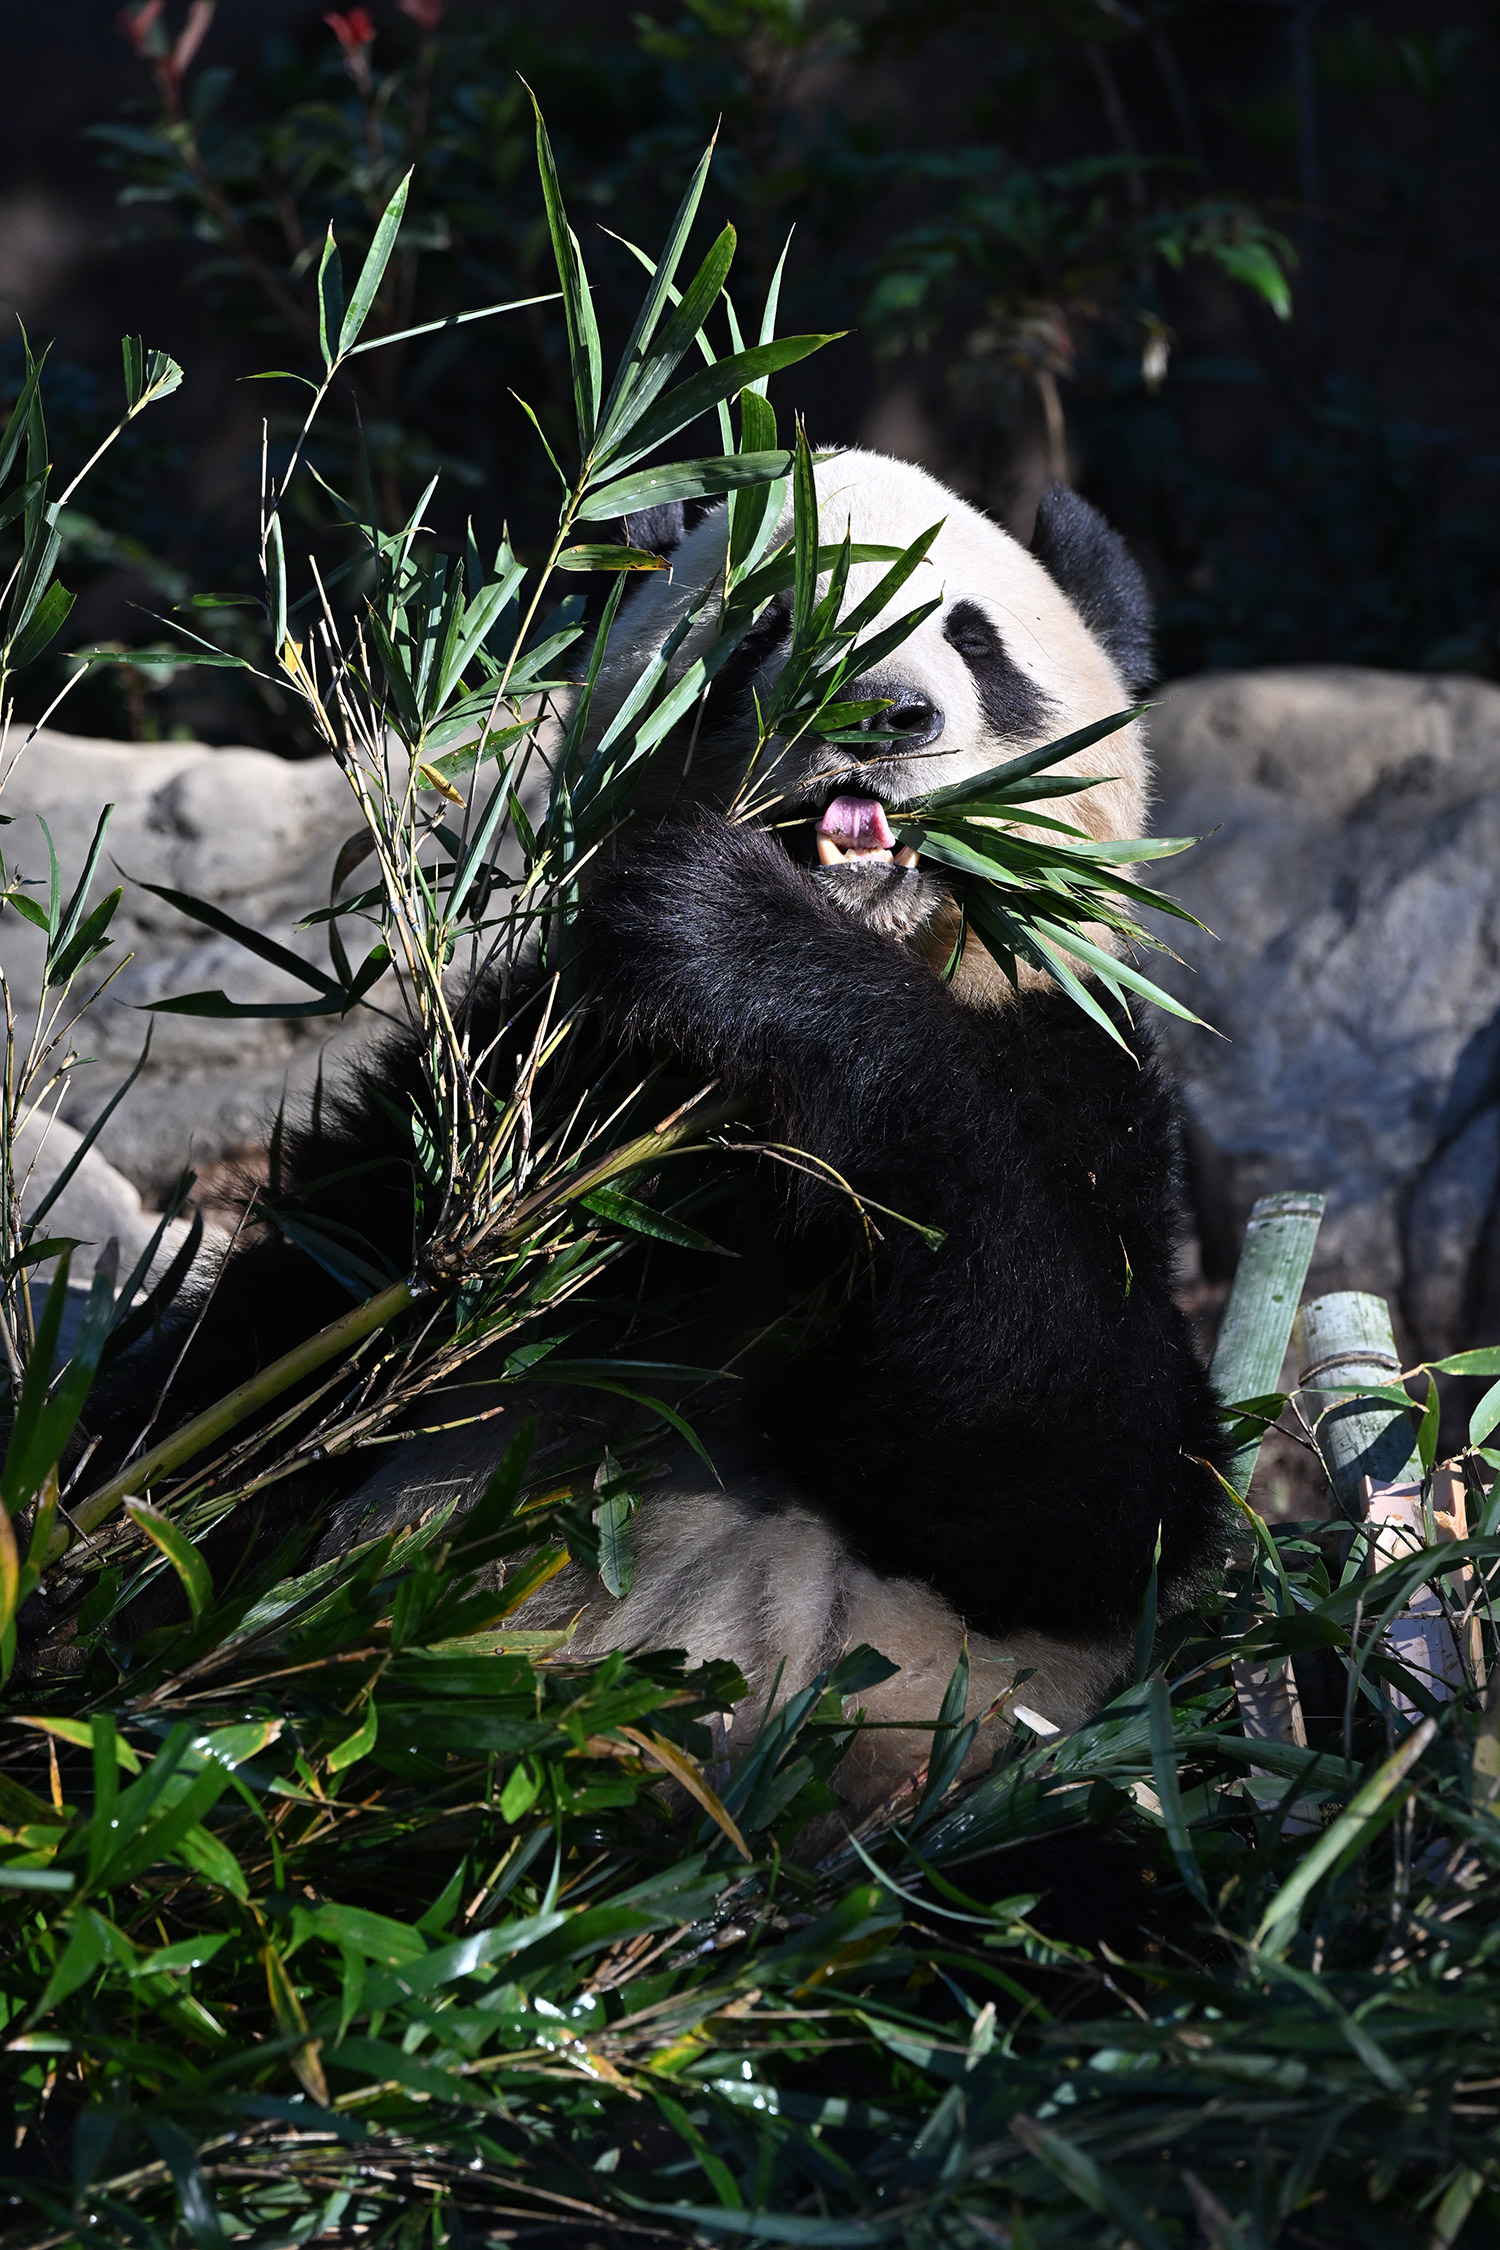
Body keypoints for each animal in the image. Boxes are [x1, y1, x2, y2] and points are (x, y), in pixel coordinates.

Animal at [84, 452, 1232, 1827]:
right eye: (772, 623)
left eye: (972, 637)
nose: (880, 711)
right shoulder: (531, 1074)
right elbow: (297, 1322)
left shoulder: (1085, 1071)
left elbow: (1087, 1476)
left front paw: (734, 931)